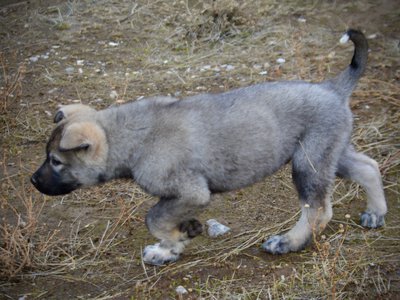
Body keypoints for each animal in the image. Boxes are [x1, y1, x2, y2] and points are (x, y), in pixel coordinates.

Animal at [32, 29, 388, 264]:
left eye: (56, 161)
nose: (33, 181)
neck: (130, 136)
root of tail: (333, 87)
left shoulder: (191, 192)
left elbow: (153, 218)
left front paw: (170, 243)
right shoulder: (177, 197)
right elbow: (164, 218)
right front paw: (175, 242)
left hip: (308, 163)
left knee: (317, 210)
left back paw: (287, 242)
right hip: (329, 154)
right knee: (368, 167)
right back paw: (375, 213)